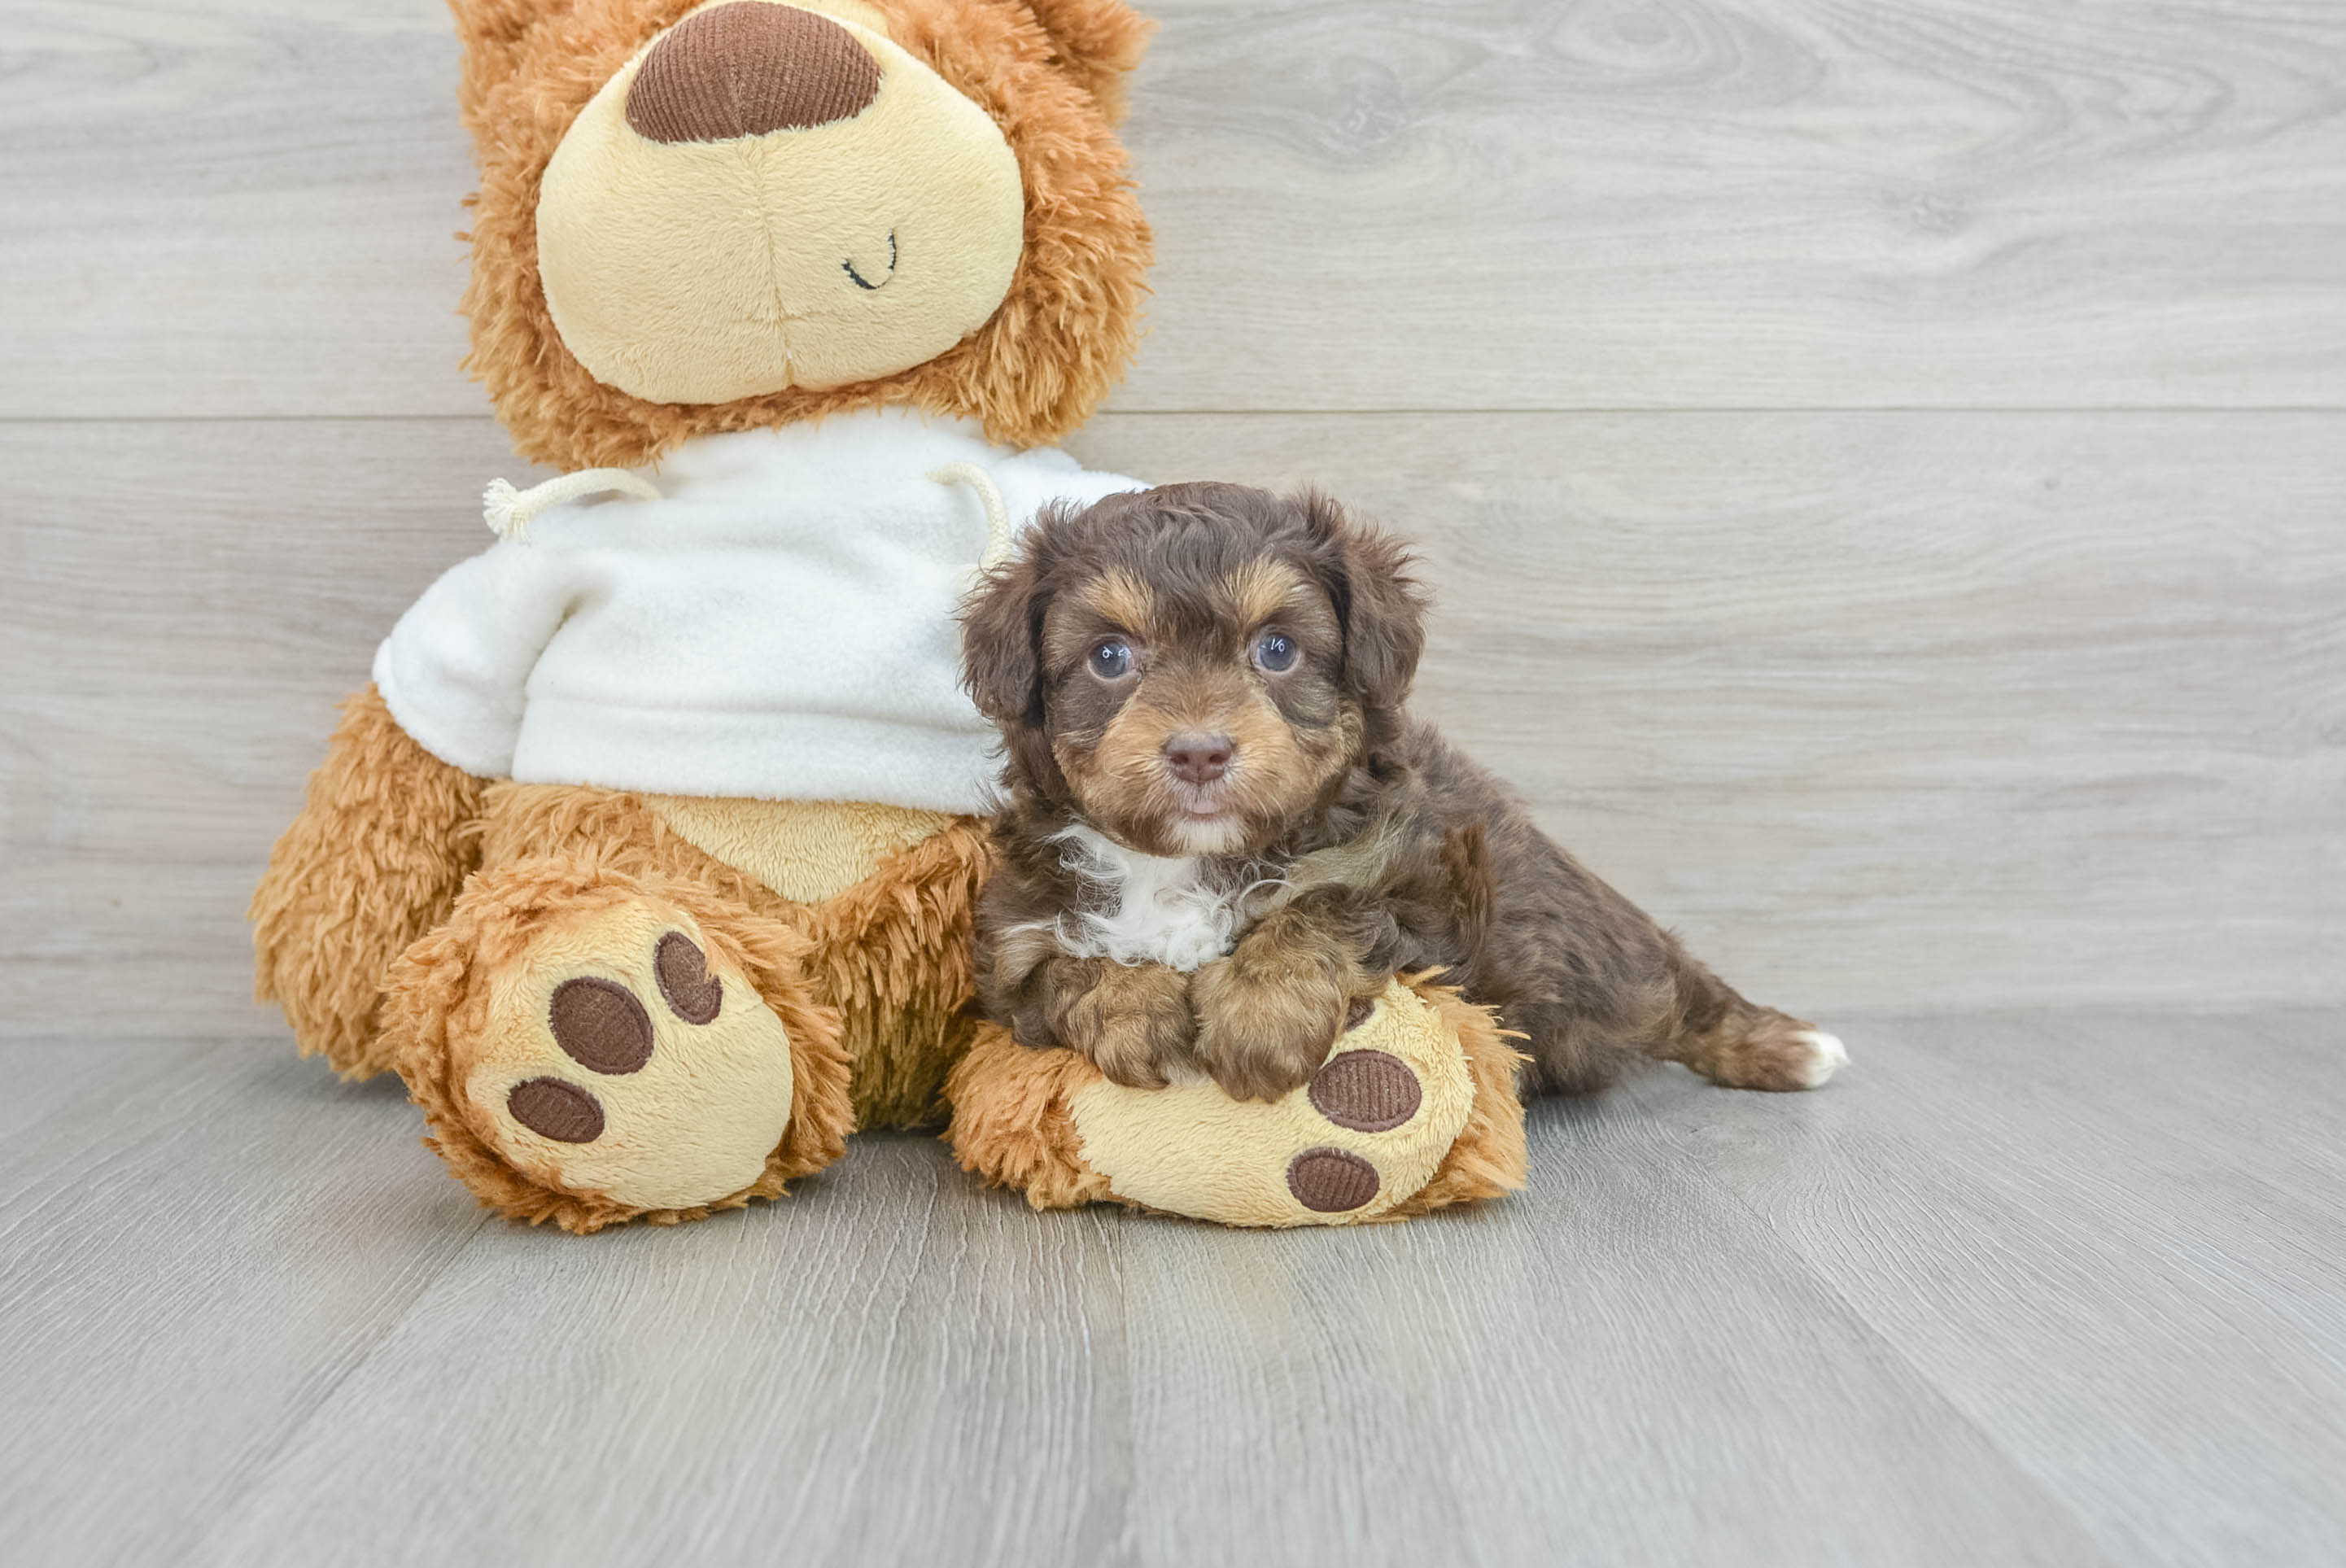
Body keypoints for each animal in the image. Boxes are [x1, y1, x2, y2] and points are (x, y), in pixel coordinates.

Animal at [957, 478, 1848, 1103]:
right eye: (1109, 658)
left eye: (1277, 649)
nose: (1200, 751)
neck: (1190, 861)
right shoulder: (1012, 943)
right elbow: (1060, 965)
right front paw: (1134, 1007)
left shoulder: (1428, 896)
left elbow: (1325, 907)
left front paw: (1258, 1013)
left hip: (1598, 942)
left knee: (1681, 988)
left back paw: (1784, 1046)